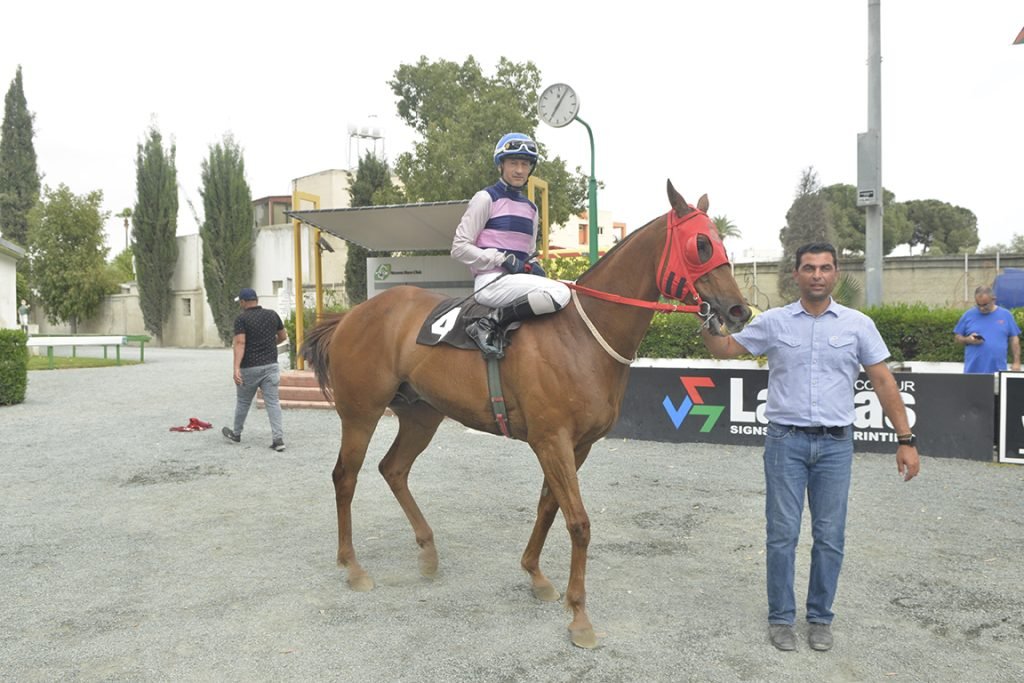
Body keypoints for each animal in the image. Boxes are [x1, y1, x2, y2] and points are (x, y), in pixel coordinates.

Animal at [301, 180, 752, 648]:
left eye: (720, 242)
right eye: (700, 245)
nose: (740, 310)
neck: (582, 335)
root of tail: (350, 315)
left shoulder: (578, 445)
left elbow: (549, 507)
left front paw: (535, 575)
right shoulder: (551, 440)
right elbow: (578, 522)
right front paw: (579, 616)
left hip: (421, 416)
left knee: (393, 469)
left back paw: (427, 550)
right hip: (361, 412)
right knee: (345, 477)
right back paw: (353, 566)